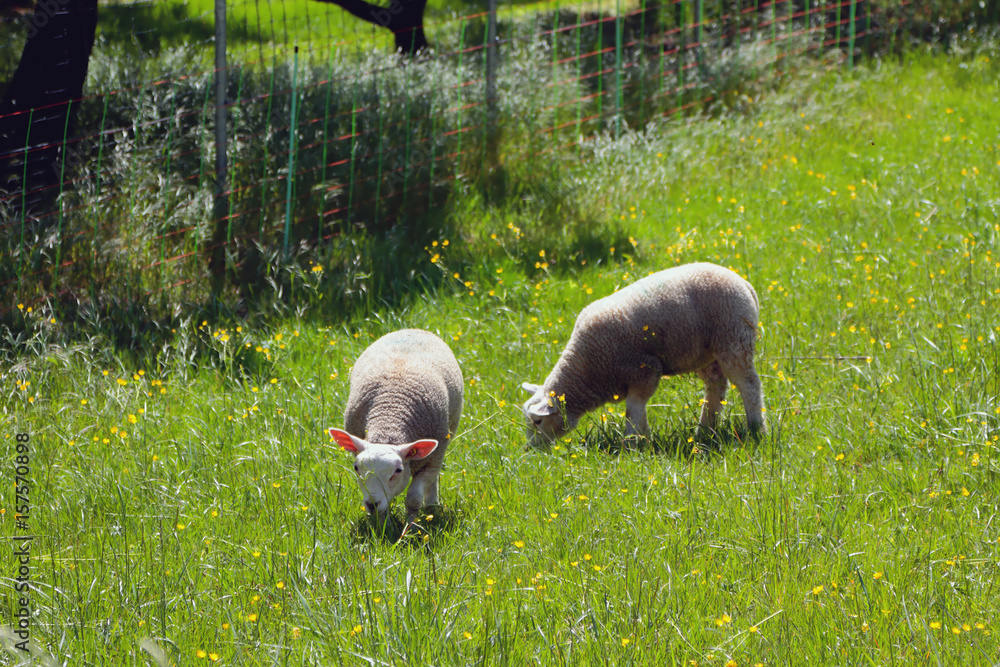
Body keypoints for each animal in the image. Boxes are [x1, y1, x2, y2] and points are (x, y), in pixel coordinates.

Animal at [329, 329, 463, 522]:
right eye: (356, 468)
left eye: (398, 470)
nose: (371, 504)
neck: (389, 420)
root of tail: (411, 330)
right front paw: (383, 526)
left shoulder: (434, 458)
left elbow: (414, 498)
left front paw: (410, 527)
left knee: (433, 482)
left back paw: (432, 506)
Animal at [521, 262, 764, 445]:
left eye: (537, 422)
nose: (529, 449)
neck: (587, 368)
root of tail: (744, 283)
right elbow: (638, 410)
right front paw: (643, 439)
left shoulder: (644, 370)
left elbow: (634, 409)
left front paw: (631, 443)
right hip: (705, 353)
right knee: (716, 386)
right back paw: (705, 430)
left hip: (733, 338)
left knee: (749, 385)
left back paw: (756, 427)